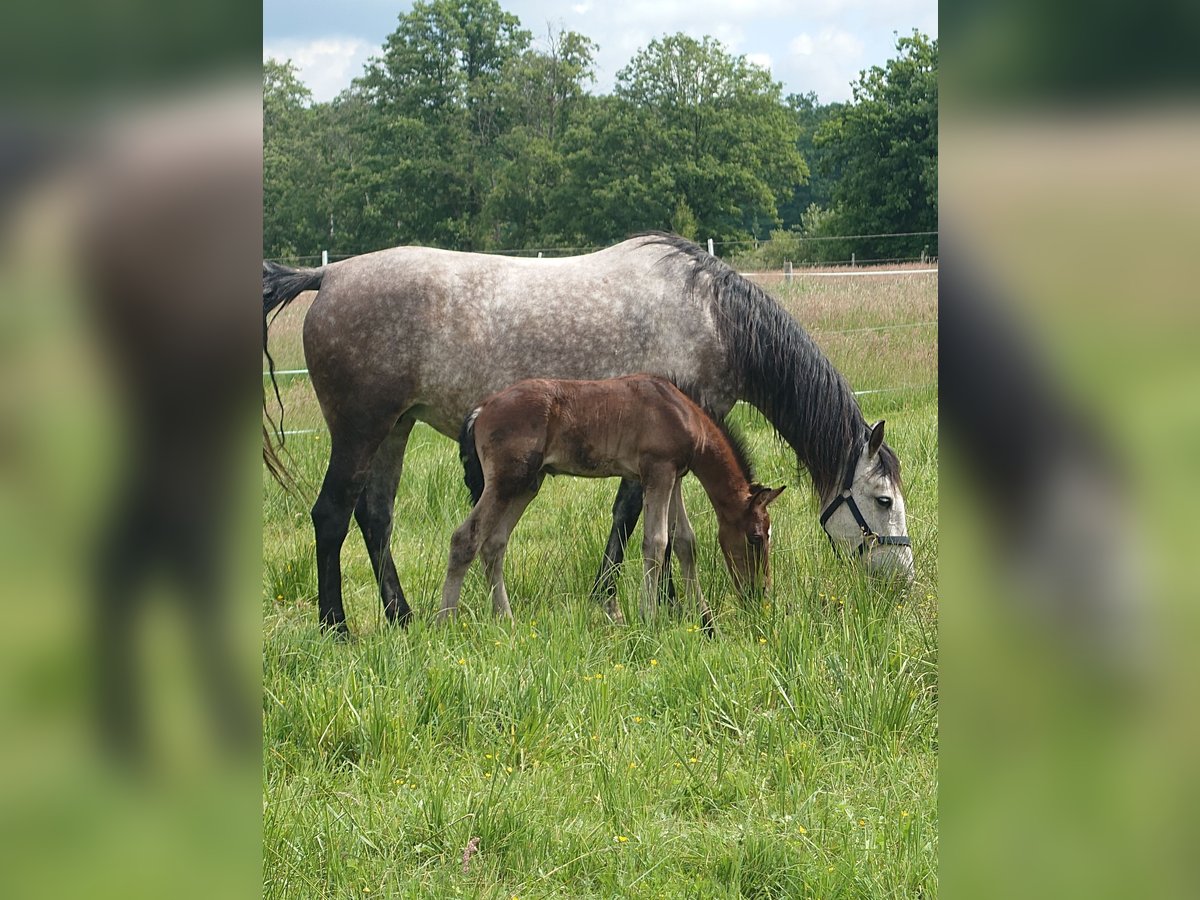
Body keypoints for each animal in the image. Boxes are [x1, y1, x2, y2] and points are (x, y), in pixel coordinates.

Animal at [439, 374, 786, 633]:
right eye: (756, 538)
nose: (760, 593)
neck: (681, 411)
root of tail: (482, 408)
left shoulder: (675, 476)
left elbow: (685, 542)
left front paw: (707, 623)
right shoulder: (657, 471)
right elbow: (656, 542)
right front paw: (650, 619)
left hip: (526, 484)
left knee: (494, 544)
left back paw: (505, 619)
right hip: (506, 481)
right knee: (465, 538)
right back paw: (445, 621)